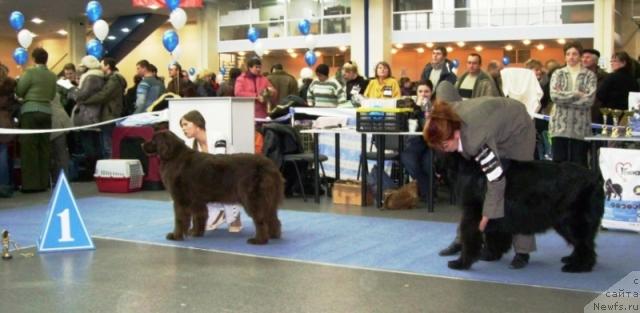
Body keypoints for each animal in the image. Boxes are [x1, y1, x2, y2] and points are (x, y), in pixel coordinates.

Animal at [146, 129, 286, 244]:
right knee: (273, 218)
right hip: (269, 199)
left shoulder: (181, 199)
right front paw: (196, 233)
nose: (142, 144)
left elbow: (180, 219)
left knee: (261, 219)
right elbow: (199, 217)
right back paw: (273, 236)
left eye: (153, 140)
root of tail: (270, 166)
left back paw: (259, 240)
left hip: (253, 198)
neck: (173, 156)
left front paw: (176, 236)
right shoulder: (196, 201)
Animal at [448, 154, 604, 270]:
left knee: (585, 244)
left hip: (572, 221)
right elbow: (496, 236)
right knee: (583, 243)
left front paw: (461, 263)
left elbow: (469, 240)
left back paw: (579, 266)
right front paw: (491, 254)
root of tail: (595, 177)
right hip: (564, 223)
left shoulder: (473, 214)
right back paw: (572, 259)